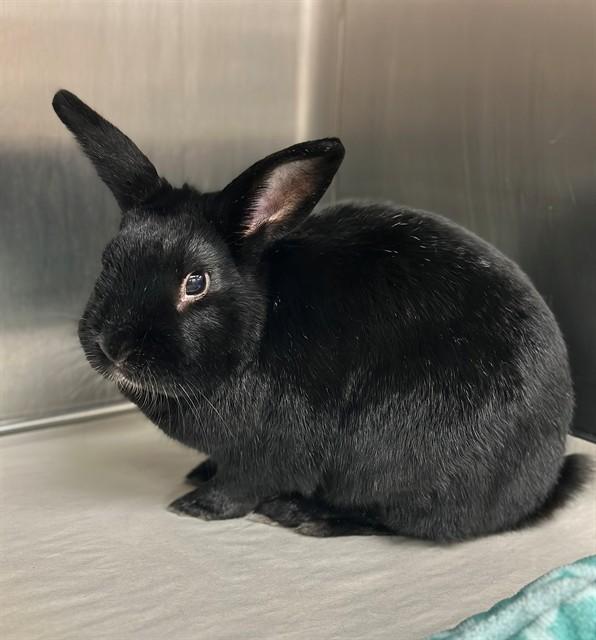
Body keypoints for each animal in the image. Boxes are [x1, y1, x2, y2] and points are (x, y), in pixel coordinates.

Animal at [52, 89, 590, 541]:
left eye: (196, 283)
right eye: (108, 259)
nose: (113, 348)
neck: (256, 332)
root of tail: (540, 484)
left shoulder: (268, 451)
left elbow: (241, 487)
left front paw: (197, 505)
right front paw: (198, 473)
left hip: (392, 457)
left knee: (392, 520)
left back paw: (303, 515)